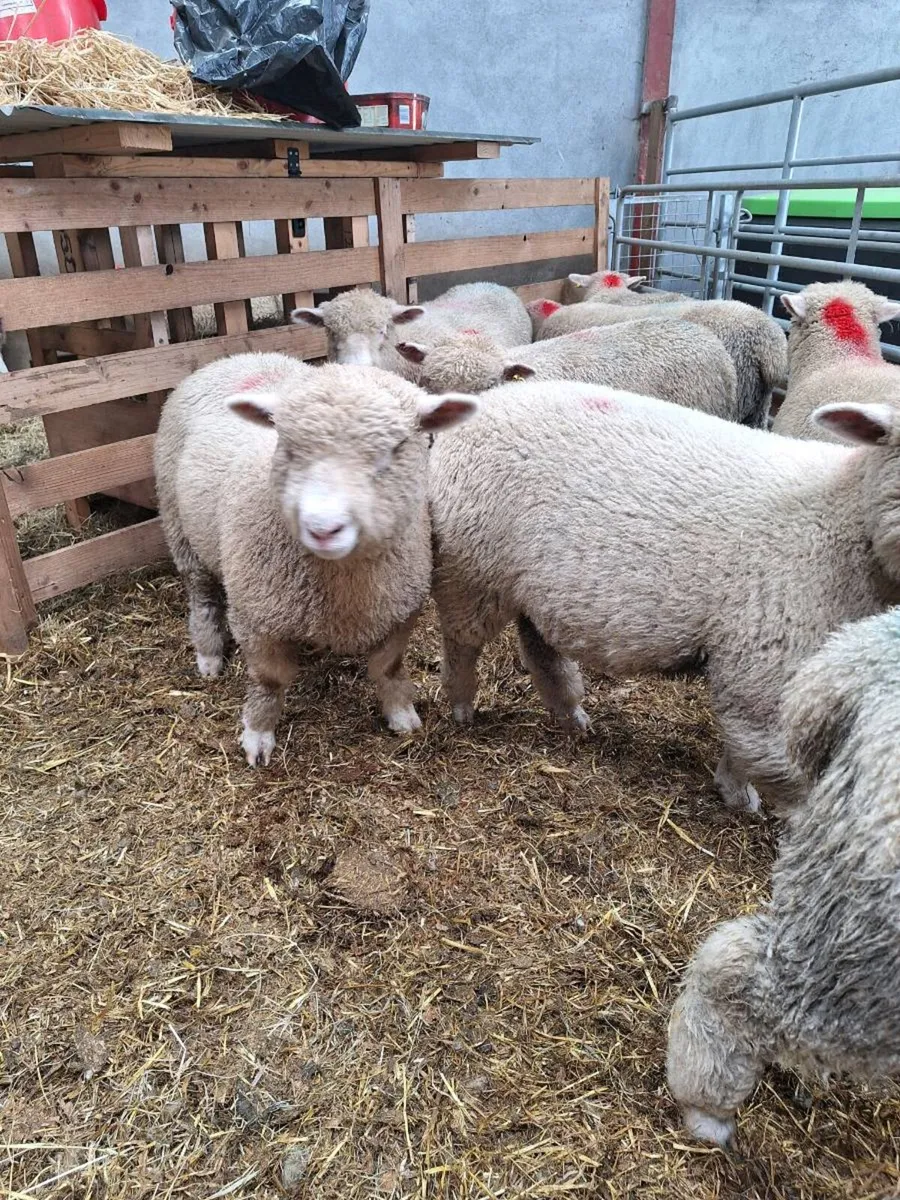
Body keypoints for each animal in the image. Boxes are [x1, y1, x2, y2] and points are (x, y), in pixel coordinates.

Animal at [153, 351, 477, 766]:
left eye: (394, 449)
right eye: (288, 448)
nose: (323, 528)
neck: (343, 582)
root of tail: (237, 357)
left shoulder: (400, 609)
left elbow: (388, 667)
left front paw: (401, 713)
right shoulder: (257, 617)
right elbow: (269, 680)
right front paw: (258, 734)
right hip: (179, 526)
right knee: (202, 594)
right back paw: (209, 655)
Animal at [427, 379, 900, 813]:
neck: (842, 521)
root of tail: (488, 399)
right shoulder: (764, 660)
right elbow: (765, 752)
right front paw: (746, 800)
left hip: (531, 588)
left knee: (540, 649)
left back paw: (571, 718)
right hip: (472, 570)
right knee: (462, 642)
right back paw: (462, 708)